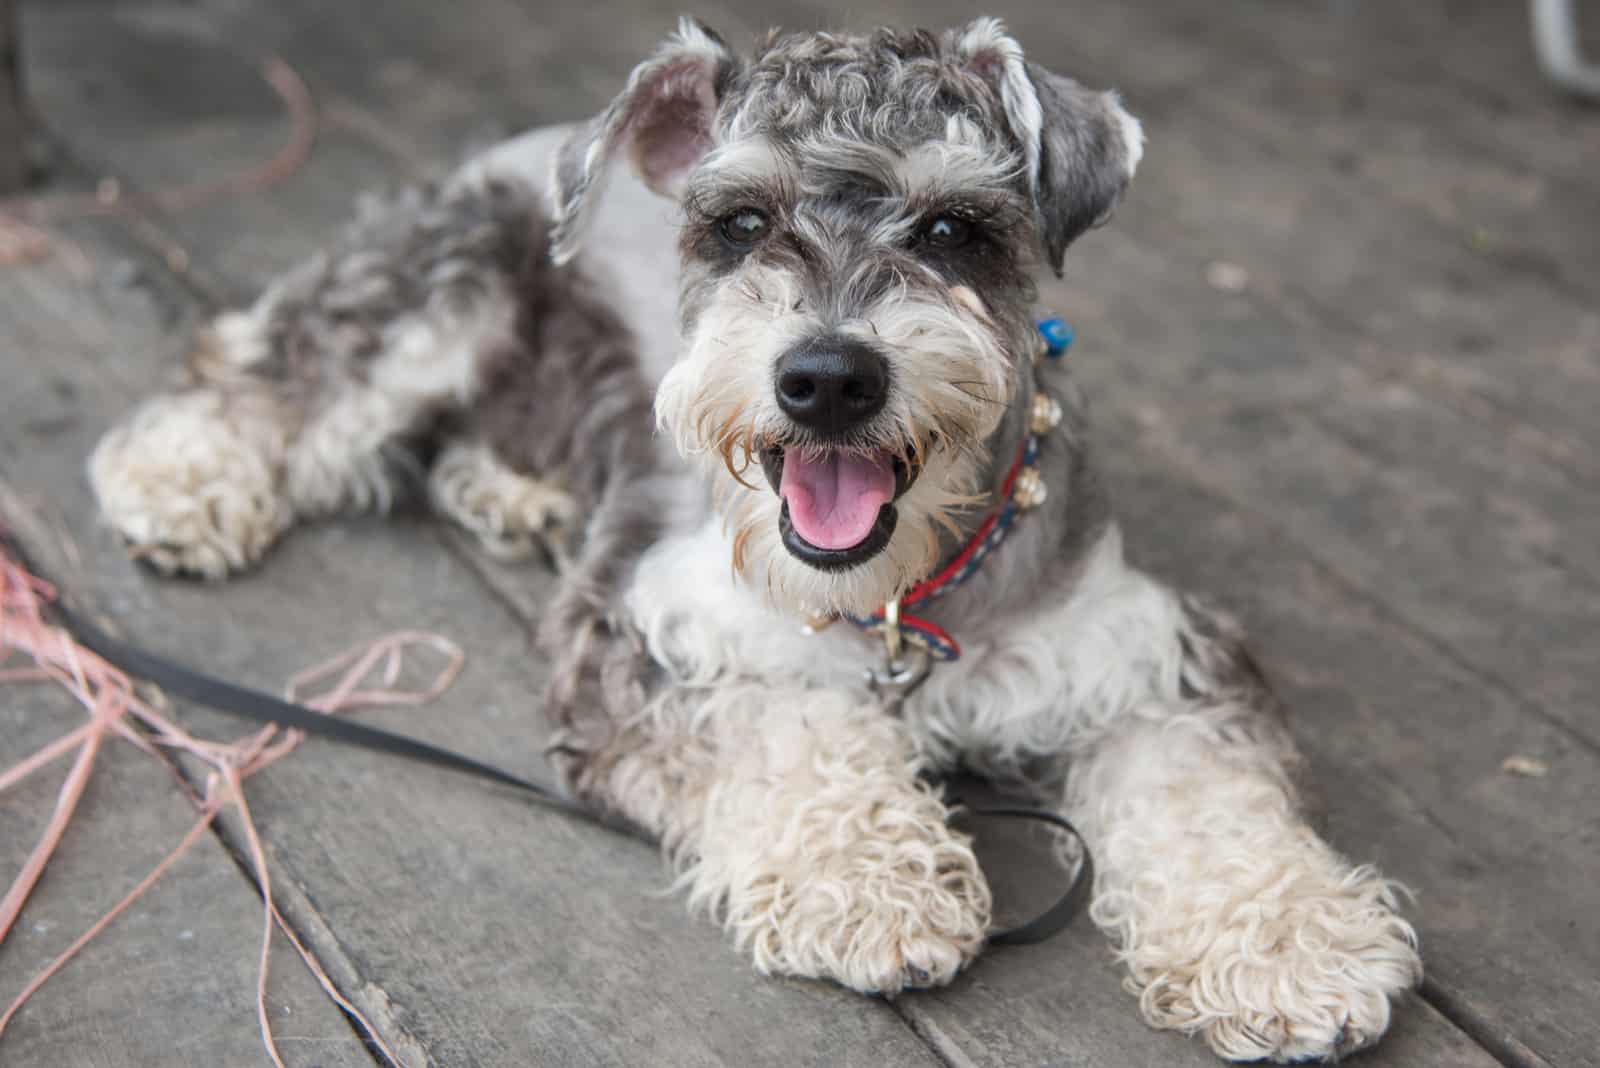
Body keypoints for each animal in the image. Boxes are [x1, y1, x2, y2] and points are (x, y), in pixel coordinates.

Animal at [87, 16, 1420, 1061]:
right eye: (737, 223)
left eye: (952, 229)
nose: (826, 378)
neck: (900, 594)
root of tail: (526, 142)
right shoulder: (651, 633)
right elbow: (791, 727)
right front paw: (869, 885)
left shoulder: (1142, 657)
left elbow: (1209, 796)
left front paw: (1291, 946)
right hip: (433, 286)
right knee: (285, 365)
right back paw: (180, 478)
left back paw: (513, 493)